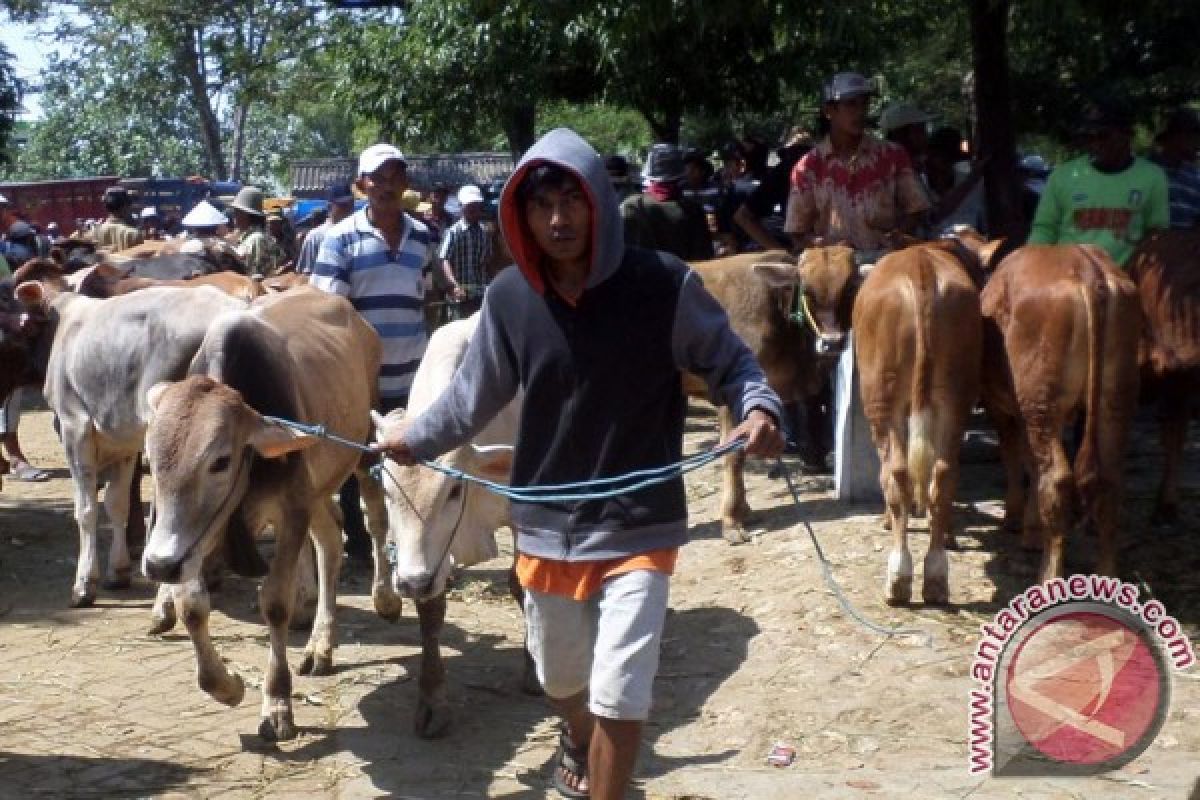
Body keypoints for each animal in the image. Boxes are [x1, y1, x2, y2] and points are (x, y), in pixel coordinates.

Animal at [849, 241, 979, 604]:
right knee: (944, 475)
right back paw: (935, 576)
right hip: (955, 397)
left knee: (896, 474)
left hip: (882, 398)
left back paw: (899, 578)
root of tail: (921, 265)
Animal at [969, 244, 1137, 582]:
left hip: (1040, 406)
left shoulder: (1003, 409)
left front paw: (1017, 520)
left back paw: (1049, 575)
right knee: (1110, 480)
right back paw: (1106, 575)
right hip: (1113, 401)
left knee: (1056, 479)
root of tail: (1086, 268)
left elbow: (1015, 458)